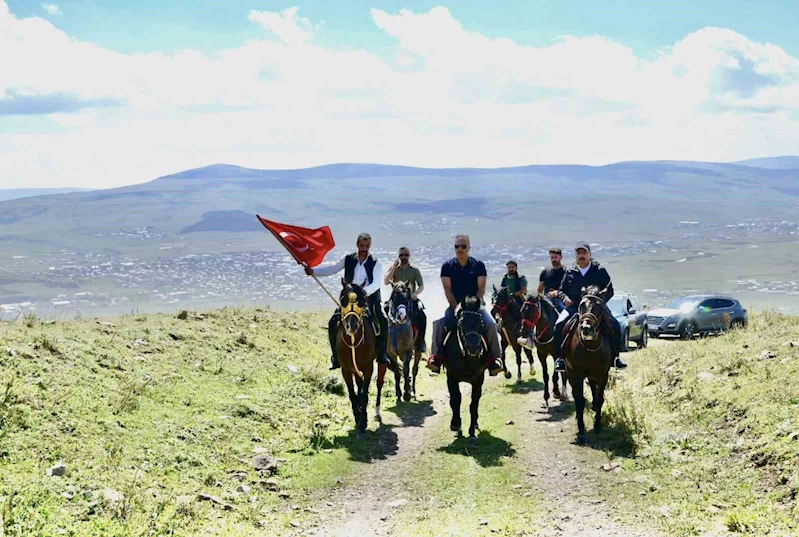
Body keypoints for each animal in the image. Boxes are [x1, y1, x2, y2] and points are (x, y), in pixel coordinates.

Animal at [338, 278, 404, 434]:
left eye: (361, 302)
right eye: (343, 300)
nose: (351, 327)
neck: (354, 341)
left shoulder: (368, 368)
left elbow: (364, 395)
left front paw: (362, 423)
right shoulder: (346, 369)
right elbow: (353, 394)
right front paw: (358, 419)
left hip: (383, 361)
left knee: (379, 383)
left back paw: (377, 413)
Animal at [564, 284, 616, 444]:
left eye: (599, 306)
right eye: (582, 305)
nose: (586, 329)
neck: (590, 347)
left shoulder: (603, 374)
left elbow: (600, 398)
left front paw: (597, 425)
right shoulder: (576, 374)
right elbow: (579, 400)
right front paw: (581, 430)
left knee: (593, 388)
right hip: (570, 372)